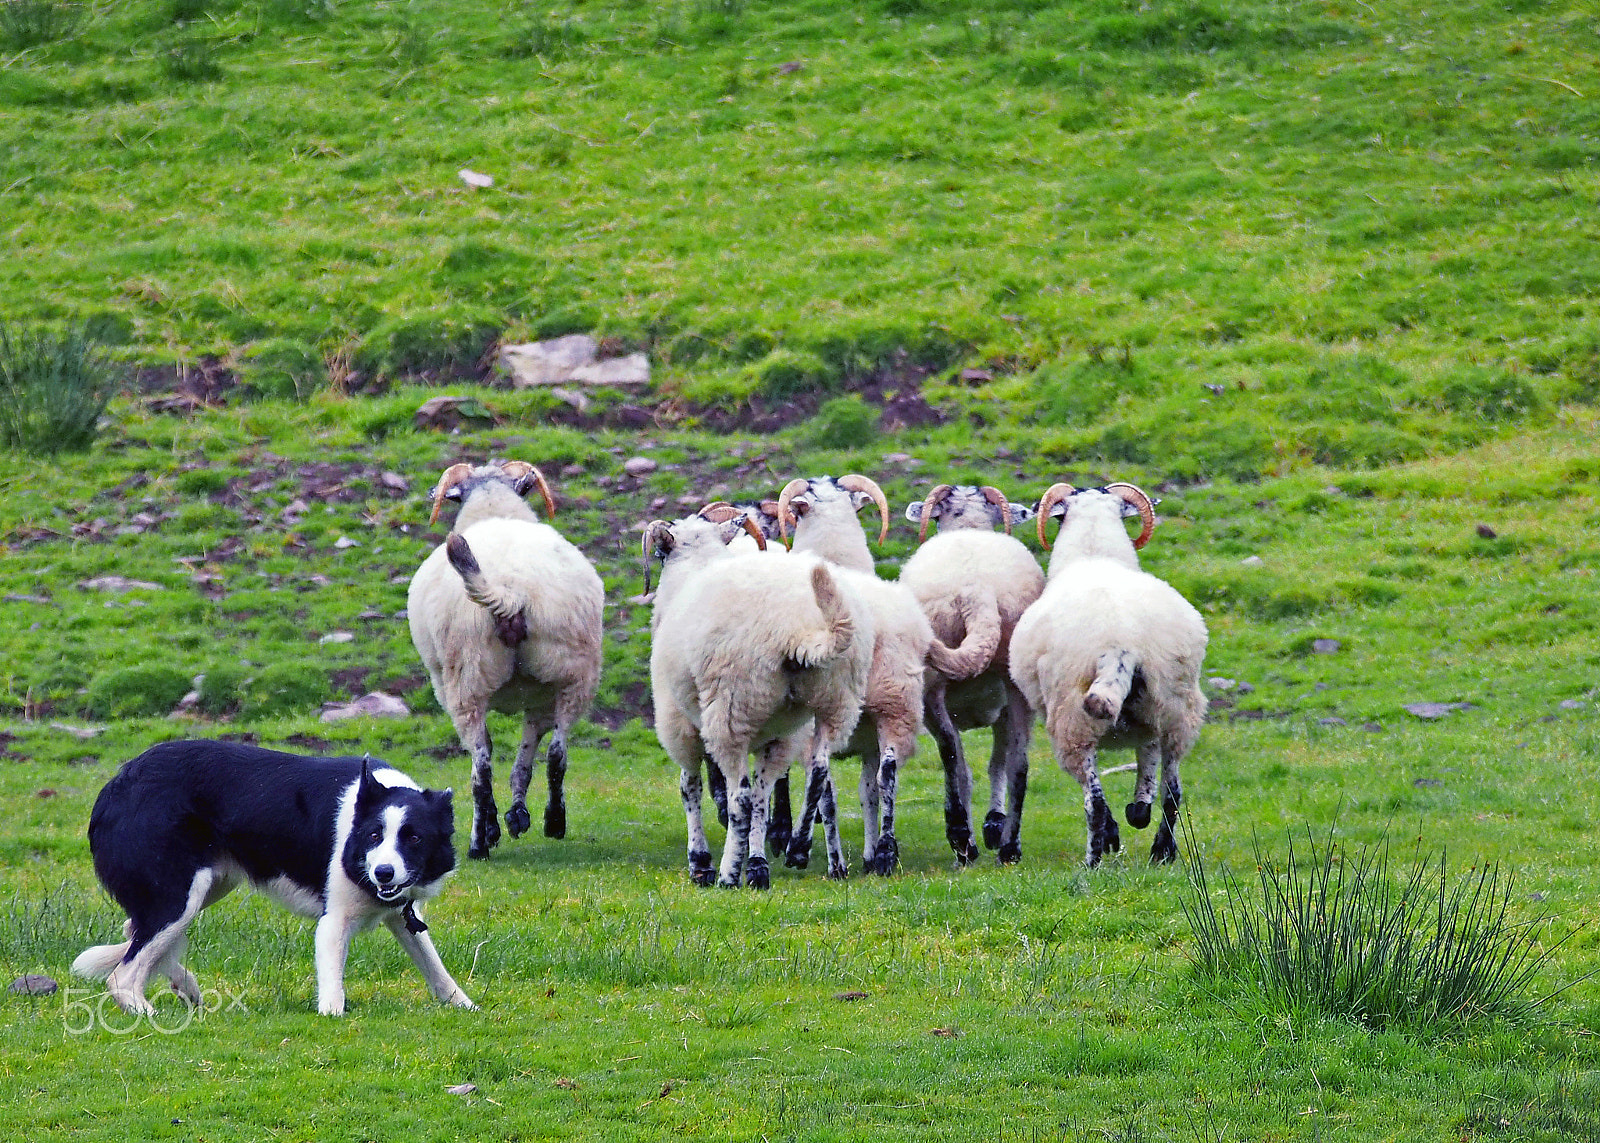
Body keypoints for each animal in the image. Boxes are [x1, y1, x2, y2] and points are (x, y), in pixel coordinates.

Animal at [408, 460, 604, 860]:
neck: (494, 508)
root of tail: (510, 593)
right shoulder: (538, 697)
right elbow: (524, 762)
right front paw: (516, 816)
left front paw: (496, 826)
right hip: (572, 673)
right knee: (558, 753)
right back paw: (554, 821)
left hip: (465, 680)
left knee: (480, 768)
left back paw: (477, 844)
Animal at [644, 512, 874, 887]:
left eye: (661, 554)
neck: (694, 568)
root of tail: (797, 631)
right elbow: (761, 796)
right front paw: (753, 860)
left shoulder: (675, 720)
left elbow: (689, 787)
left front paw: (700, 862)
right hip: (834, 702)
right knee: (810, 773)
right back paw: (786, 854)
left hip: (731, 707)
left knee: (741, 797)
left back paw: (728, 874)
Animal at [773, 475, 1000, 874]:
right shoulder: (866, 738)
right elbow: (867, 792)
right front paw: (866, 854)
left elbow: (843, 795)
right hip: (896, 698)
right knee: (886, 774)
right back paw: (879, 855)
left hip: (835, 707)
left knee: (828, 774)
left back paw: (818, 854)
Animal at [897, 485, 1045, 865]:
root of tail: (977, 591)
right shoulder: (1004, 703)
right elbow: (998, 763)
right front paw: (995, 825)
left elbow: (971, 765)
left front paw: (983, 830)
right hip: (1016, 678)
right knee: (1020, 762)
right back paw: (1010, 847)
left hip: (931, 685)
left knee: (951, 756)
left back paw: (961, 837)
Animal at [1007, 482, 1208, 866]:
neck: (1093, 555)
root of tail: (1121, 644)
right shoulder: (1148, 725)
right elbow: (1148, 773)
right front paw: (1138, 811)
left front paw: (1119, 829)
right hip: (1176, 708)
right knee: (1173, 790)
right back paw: (1163, 852)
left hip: (1072, 721)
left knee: (1095, 802)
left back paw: (1093, 859)